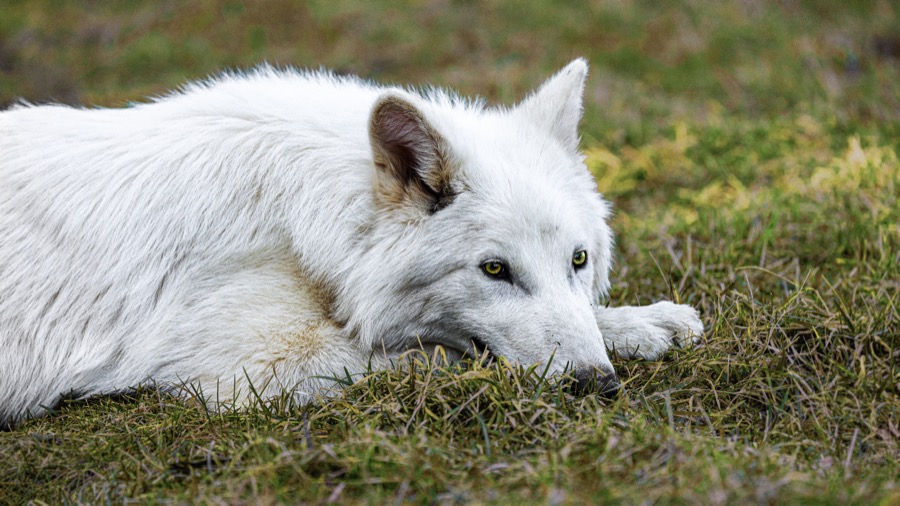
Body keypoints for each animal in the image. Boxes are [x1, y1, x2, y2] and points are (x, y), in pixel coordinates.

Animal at [0, 59, 703, 427]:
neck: (297, 216)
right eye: (494, 270)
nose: (597, 385)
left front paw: (645, 323)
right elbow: (442, 353)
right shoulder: (251, 369)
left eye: (578, 261)